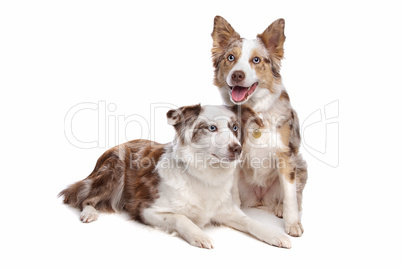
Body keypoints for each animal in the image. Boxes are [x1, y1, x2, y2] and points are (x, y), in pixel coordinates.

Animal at [59, 104, 290, 249]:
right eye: (211, 128)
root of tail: (117, 145)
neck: (204, 176)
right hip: (114, 172)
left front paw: (275, 235)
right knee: (83, 197)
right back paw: (89, 213)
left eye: (234, 128)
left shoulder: (227, 210)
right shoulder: (147, 209)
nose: (237, 149)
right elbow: (181, 218)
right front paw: (199, 235)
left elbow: (252, 222)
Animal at [210, 16, 308, 237]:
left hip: (300, 164)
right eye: (230, 57)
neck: (254, 114)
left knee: (295, 194)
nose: (237, 75)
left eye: (256, 60)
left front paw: (292, 224)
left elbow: (290, 194)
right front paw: (235, 213)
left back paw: (280, 208)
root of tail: (260, 199)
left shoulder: (286, 155)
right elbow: (233, 191)